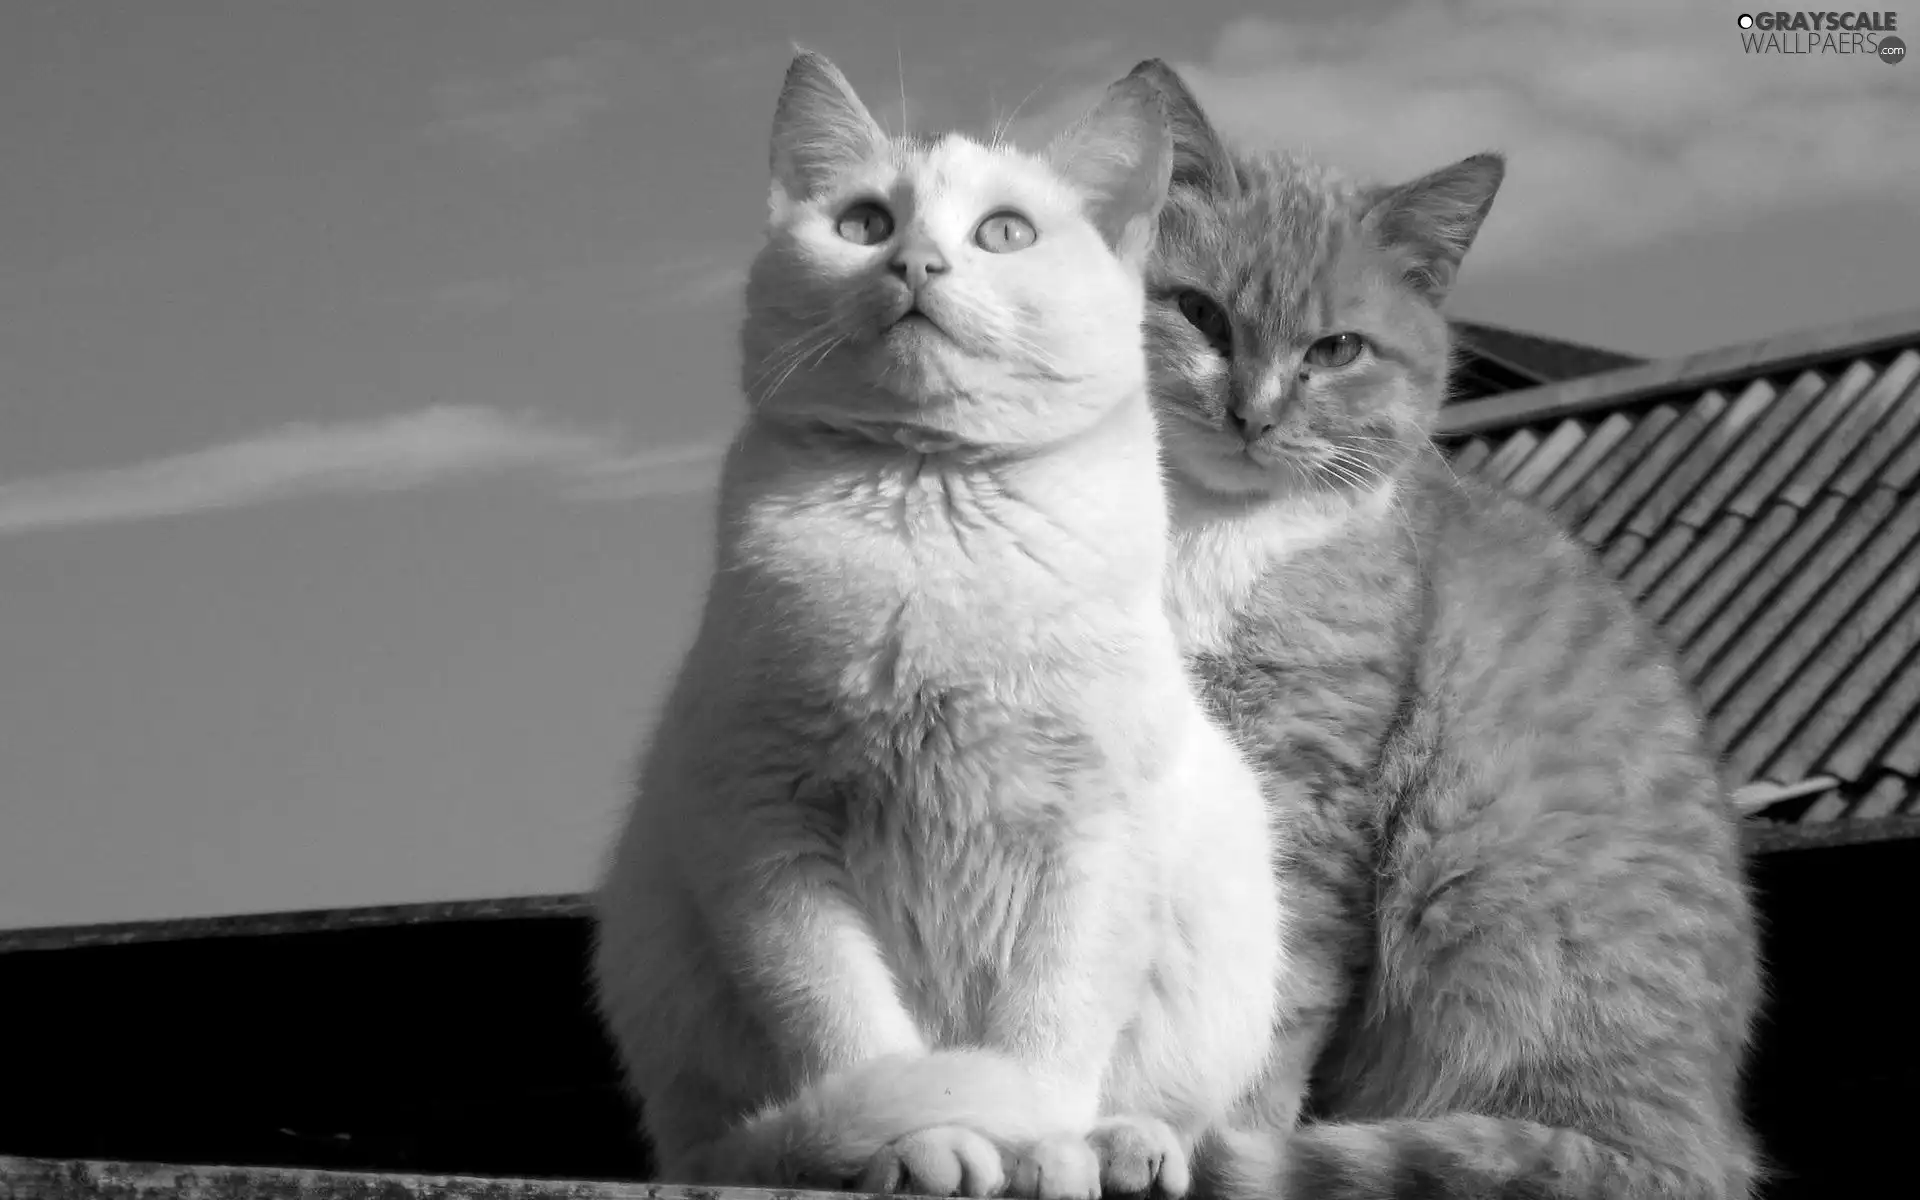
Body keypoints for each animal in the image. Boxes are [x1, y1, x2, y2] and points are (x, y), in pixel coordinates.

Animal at [591, 53, 1297, 1198]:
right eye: (865, 223)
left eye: (1004, 232)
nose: (915, 262)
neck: (934, 503)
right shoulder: (766, 831)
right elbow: (848, 1024)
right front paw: (924, 1145)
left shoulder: (1096, 839)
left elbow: (1050, 1028)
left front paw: (1046, 1148)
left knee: (1160, 1105)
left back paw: (1123, 1144)